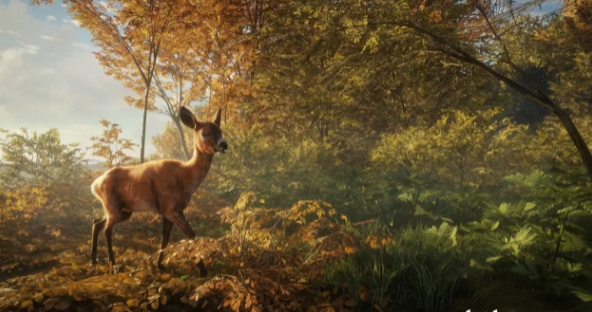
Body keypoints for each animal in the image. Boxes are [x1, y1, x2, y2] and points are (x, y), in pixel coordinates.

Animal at [89, 106, 228, 274]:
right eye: (205, 133)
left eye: (220, 131)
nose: (223, 144)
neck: (185, 177)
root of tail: (94, 185)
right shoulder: (171, 208)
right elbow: (191, 235)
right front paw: (202, 270)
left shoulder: (167, 210)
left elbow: (165, 238)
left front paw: (159, 265)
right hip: (112, 205)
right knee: (106, 229)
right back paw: (112, 263)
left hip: (124, 210)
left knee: (97, 222)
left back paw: (94, 260)